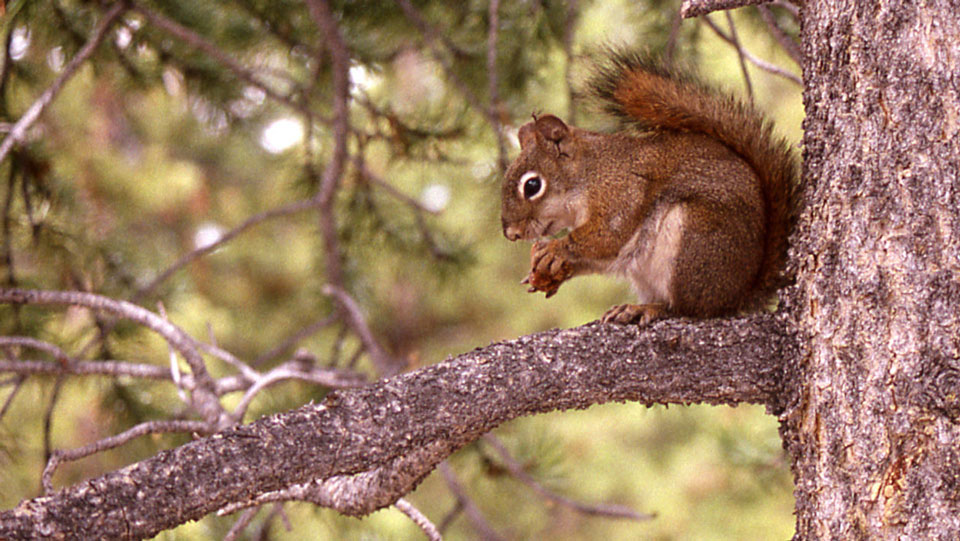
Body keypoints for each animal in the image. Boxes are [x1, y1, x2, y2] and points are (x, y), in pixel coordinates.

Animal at [500, 51, 797, 325]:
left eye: (532, 185)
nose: (511, 234)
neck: (590, 174)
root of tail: (737, 295)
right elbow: (596, 257)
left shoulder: (621, 193)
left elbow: (606, 237)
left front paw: (554, 249)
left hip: (694, 242)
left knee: (690, 310)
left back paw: (649, 309)